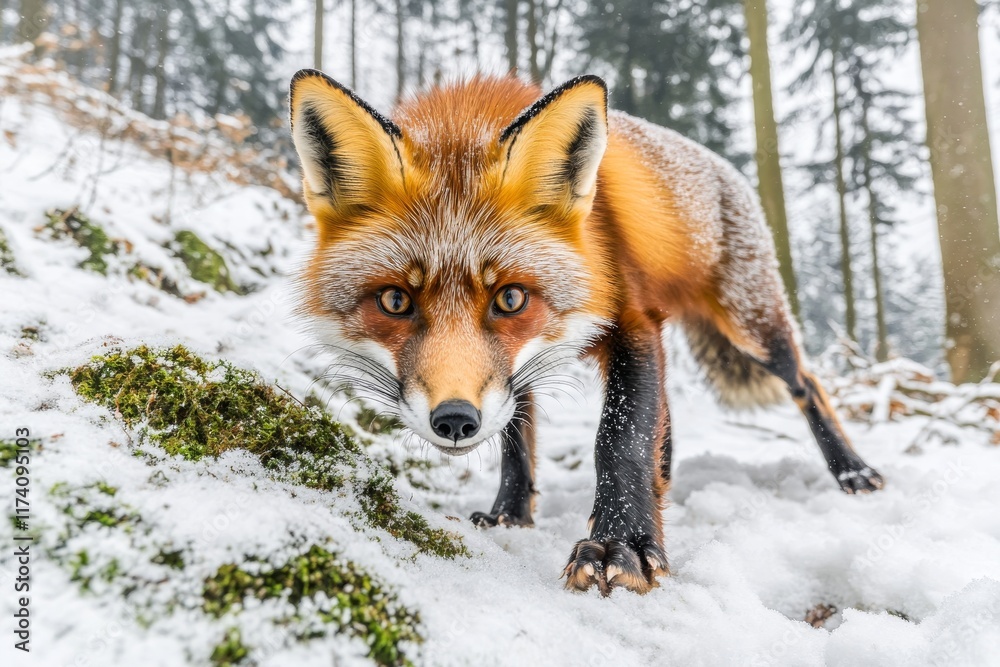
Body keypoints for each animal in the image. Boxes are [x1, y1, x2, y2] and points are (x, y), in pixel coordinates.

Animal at [288, 70, 885, 596]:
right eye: (395, 301)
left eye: (509, 298)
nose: (455, 420)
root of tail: (727, 170)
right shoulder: (522, 362)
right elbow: (518, 441)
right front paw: (510, 513)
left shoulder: (632, 320)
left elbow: (621, 436)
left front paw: (620, 545)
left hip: (753, 331)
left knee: (807, 381)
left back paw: (852, 470)